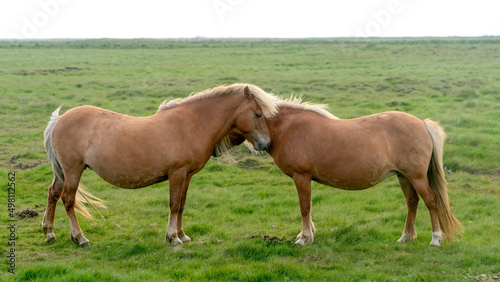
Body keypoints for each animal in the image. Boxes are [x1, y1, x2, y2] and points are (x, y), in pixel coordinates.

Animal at [42, 82, 278, 246]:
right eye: (257, 114)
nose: (265, 143)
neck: (193, 124)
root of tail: (59, 119)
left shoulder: (187, 176)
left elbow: (181, 205)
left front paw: (183, 235)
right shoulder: (177, 174)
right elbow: (173, 205)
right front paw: (173, 237)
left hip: (63, 172)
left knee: (53, 193)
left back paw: (50, 233)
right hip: (73, 170)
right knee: (68, 199)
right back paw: (79, 238)